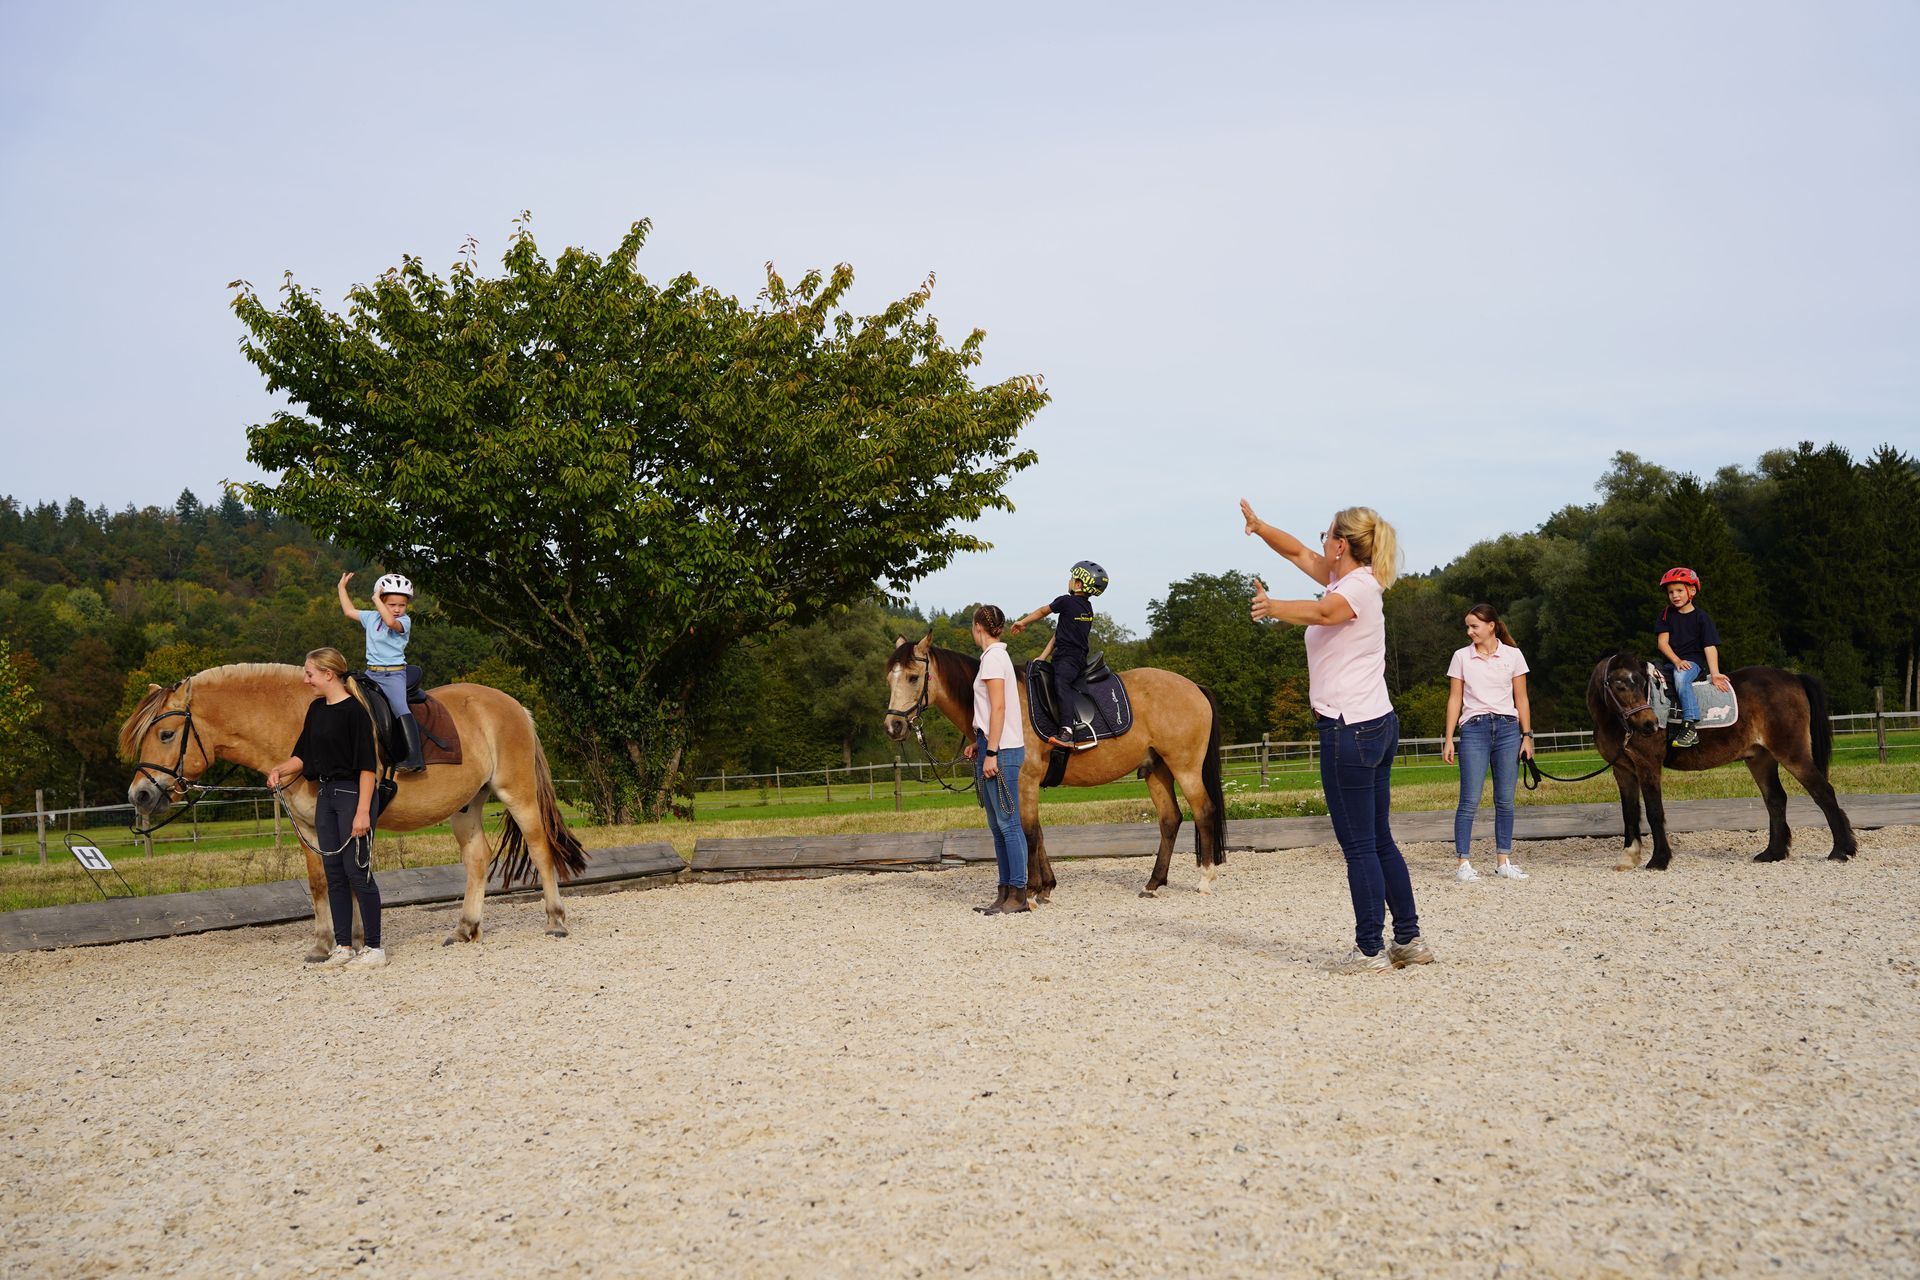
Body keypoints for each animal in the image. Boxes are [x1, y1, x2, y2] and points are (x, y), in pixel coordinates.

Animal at [120, 664, 589, 958]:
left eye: (166, 734)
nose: (139, 795)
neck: (300, 722)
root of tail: (512, 706)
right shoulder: (312, 827)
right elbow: (323, 882)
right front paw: (332, 942)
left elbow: (346, 876)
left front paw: (351, 940)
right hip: (466, 805)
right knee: (477, 859)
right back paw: (465, 928)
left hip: (516, 792)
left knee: (540, 848)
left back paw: (555, 920)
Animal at [883, 635, 1225, 899]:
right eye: (890, 678)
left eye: (913, 677)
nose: (893, 726)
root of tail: (1193, 686)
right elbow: (1038, 832)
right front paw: (1047, 885)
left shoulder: (1024, 780)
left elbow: (1029, 833)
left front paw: (1034, 888)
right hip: (1156, 770)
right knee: (1170, 820)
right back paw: (1153, 883)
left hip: (1185, 768)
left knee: (1203, 811)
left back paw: (1205, 880)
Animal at [1588, 652, 1856, 871]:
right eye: (1620, 685)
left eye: (1644, 684)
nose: (1649, 724)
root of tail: (1794, 678)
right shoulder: (1623, 770)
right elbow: (1629, 812)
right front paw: (1628, 857)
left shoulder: (1648, 765)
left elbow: (1654, 811)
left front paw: (1659, 860)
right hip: (1761, 758)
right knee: (1776, 799)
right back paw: (1773, 853)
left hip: (1792, 753)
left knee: (1823, 792)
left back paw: (1841, 851)